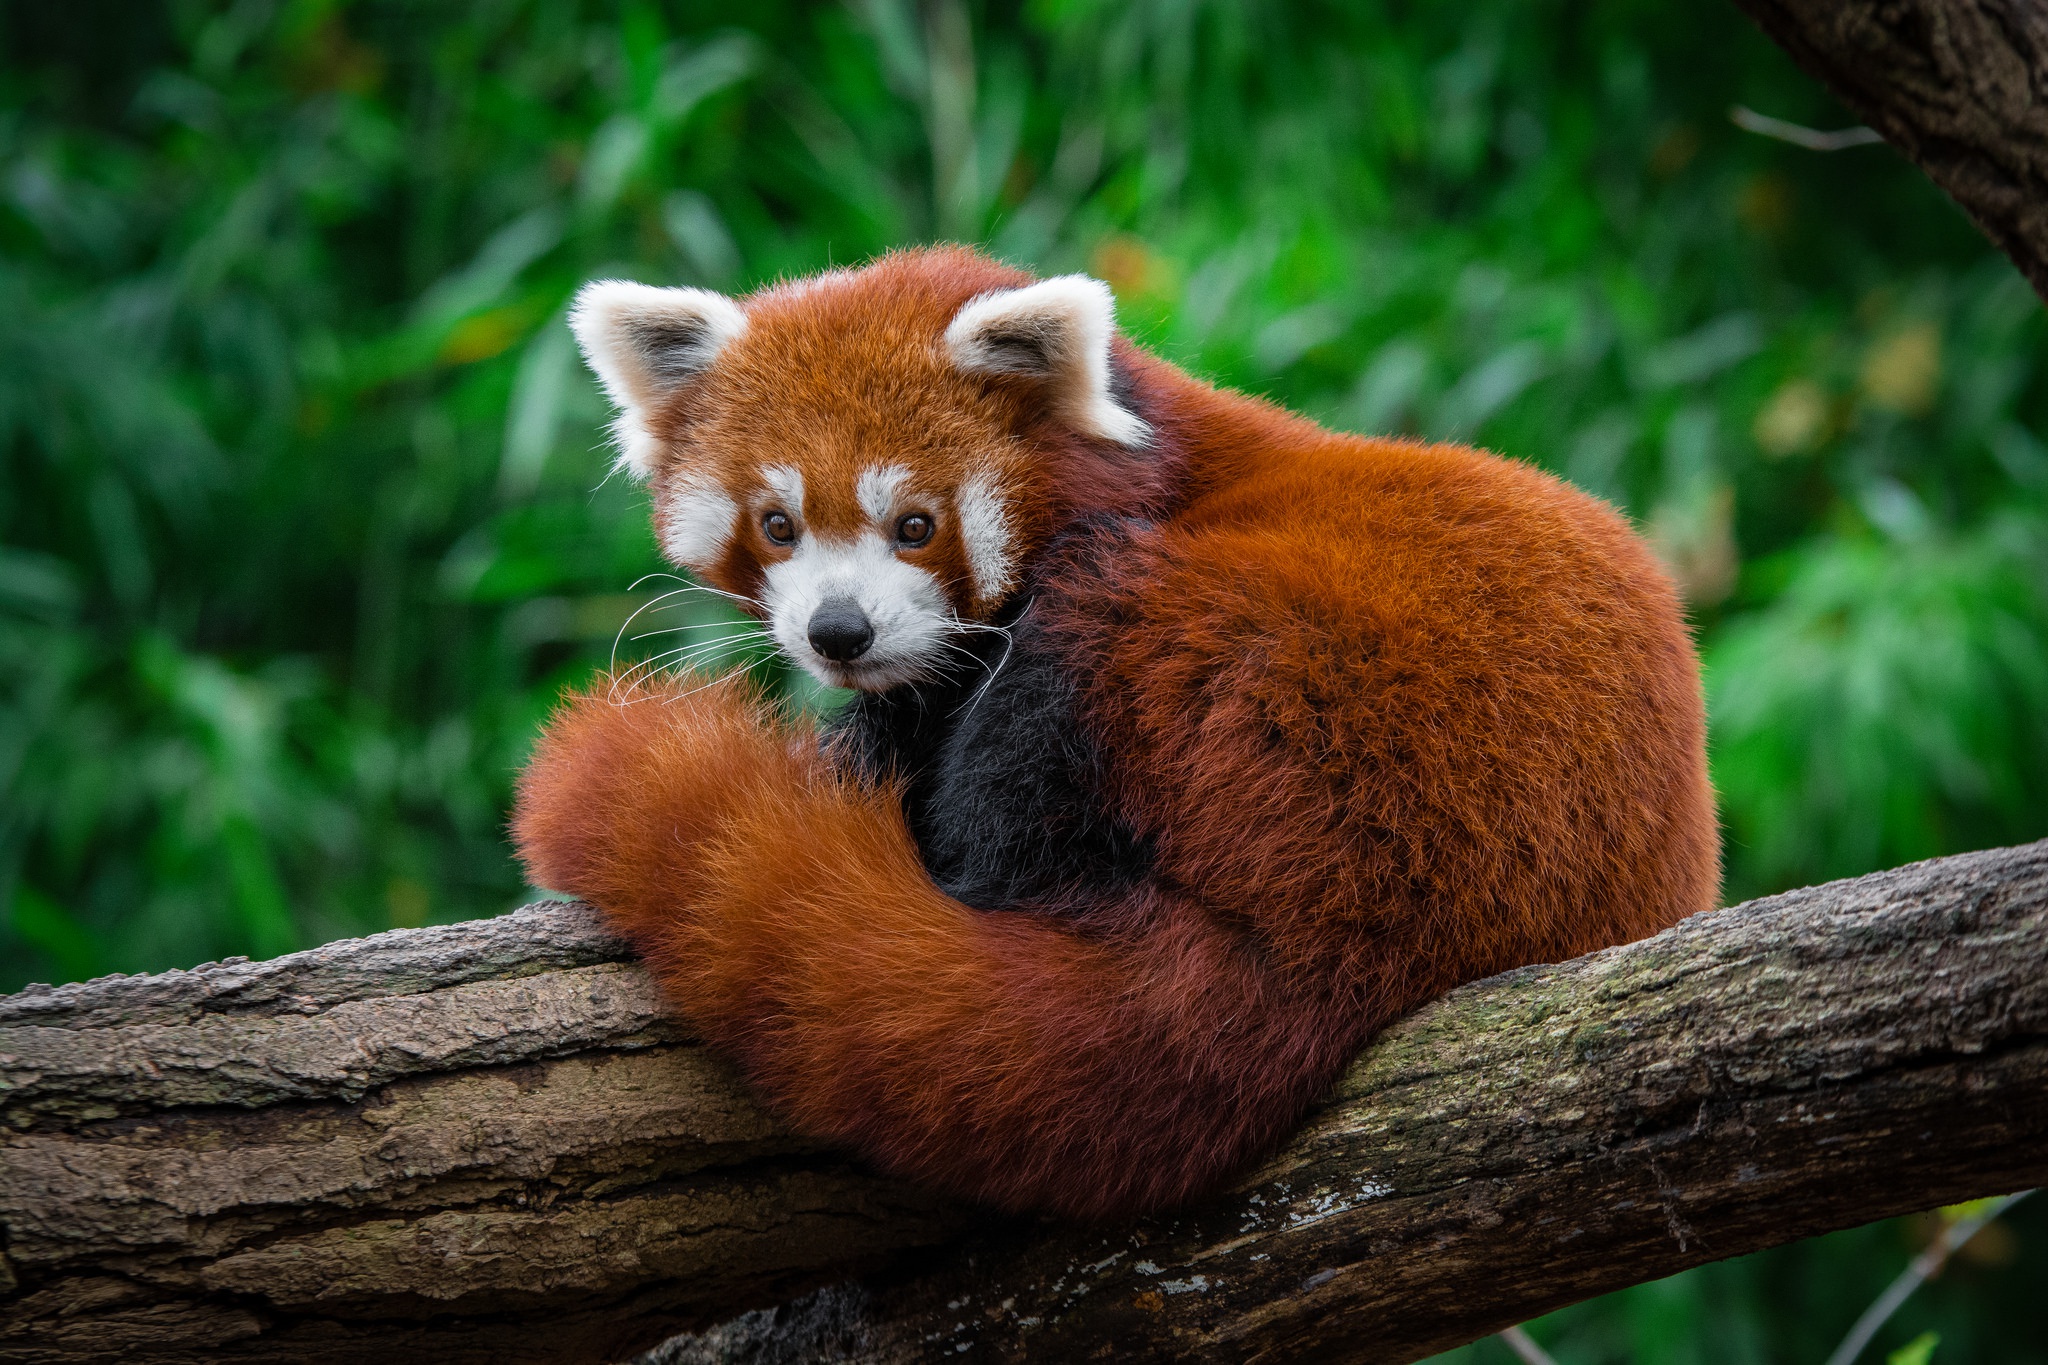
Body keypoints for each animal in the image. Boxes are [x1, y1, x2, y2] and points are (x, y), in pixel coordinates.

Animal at [507, 245, 1712, 1219]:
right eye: (777, 523)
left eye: (915, 525)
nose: (838, 631)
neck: (1160, 453)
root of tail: (1355, 937)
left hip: (1274, 684)